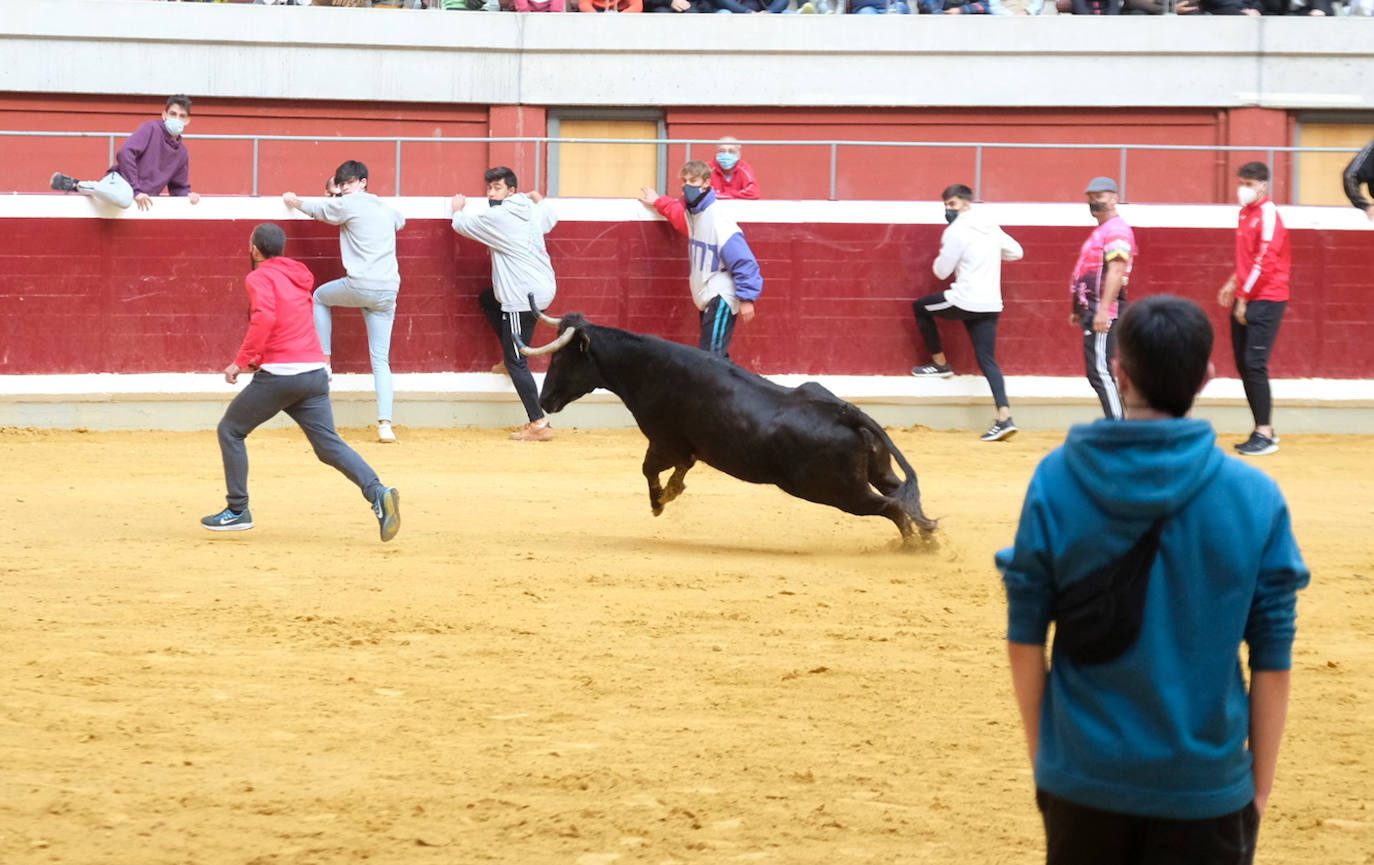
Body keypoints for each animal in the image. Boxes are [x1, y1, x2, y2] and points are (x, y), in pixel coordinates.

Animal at [519, 311, 939, 546]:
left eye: (562, 359)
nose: (546, 400)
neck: (646, 366)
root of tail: (847, 412)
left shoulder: (663, 441)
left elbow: (649, 469)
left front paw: (661, 502)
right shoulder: (685, 448)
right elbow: (677, 470)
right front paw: (673, 491)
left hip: (837, 491)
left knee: (894, 507)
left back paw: (912, 548)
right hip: (876, 472)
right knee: (902, 496)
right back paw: (927, 540)